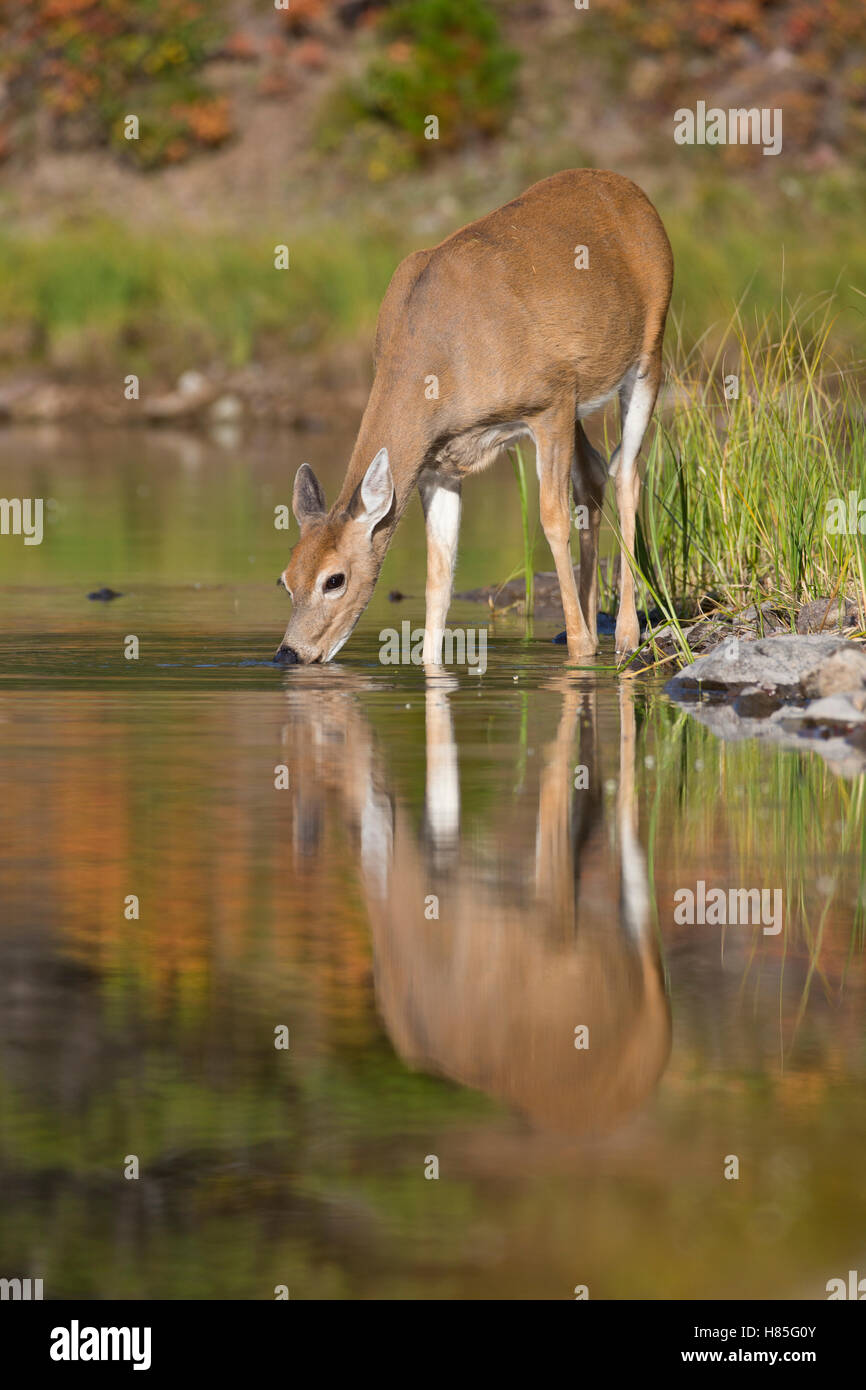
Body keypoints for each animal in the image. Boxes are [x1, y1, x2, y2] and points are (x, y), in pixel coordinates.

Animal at [276, 169, 673, 666]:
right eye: (285, 579)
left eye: (335, 579)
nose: (289, 653)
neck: (442, 363)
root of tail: (633, 193)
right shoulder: (438, 464)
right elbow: (440, 571)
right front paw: (432, 661)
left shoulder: (549, 402)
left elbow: (552, 519)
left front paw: (581, 650)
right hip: (582, 402)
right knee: (595, 473)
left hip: (648, 354)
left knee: (627, 472)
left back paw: (623, 636)